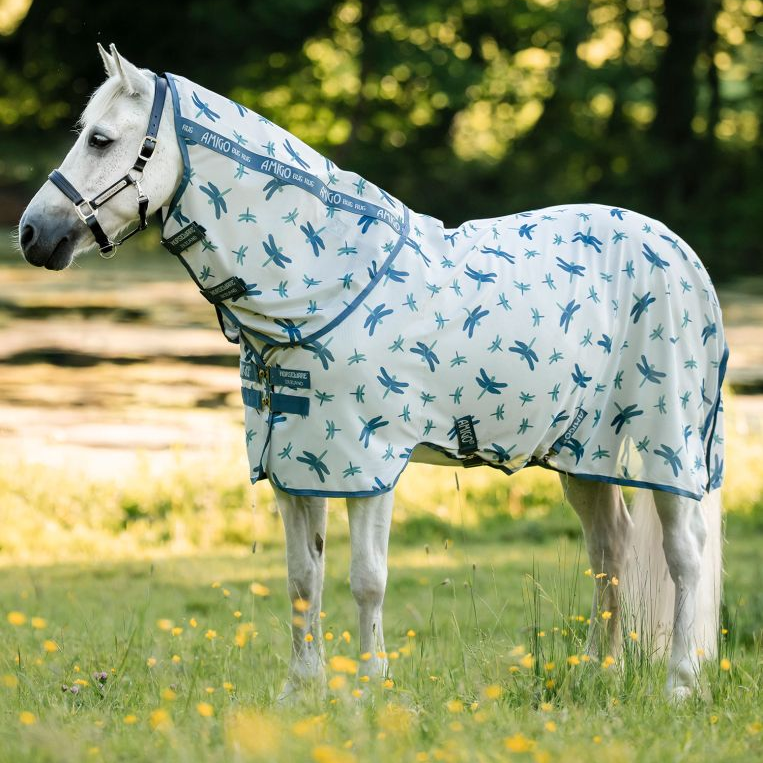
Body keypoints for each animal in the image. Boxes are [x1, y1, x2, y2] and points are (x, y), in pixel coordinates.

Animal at [18, 45, 726, 700]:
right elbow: (302, 578)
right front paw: (301, 691)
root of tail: (680, 252)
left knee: (683, 555)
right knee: (610, 549)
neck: (320, 287)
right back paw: (600, 672)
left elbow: (367, 579)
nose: (31, 235)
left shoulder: (369, 463)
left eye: (101, 139)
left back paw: (680, 683)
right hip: (584, 454)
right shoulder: (295, 464)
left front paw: (367, 691)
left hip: (665, 446)